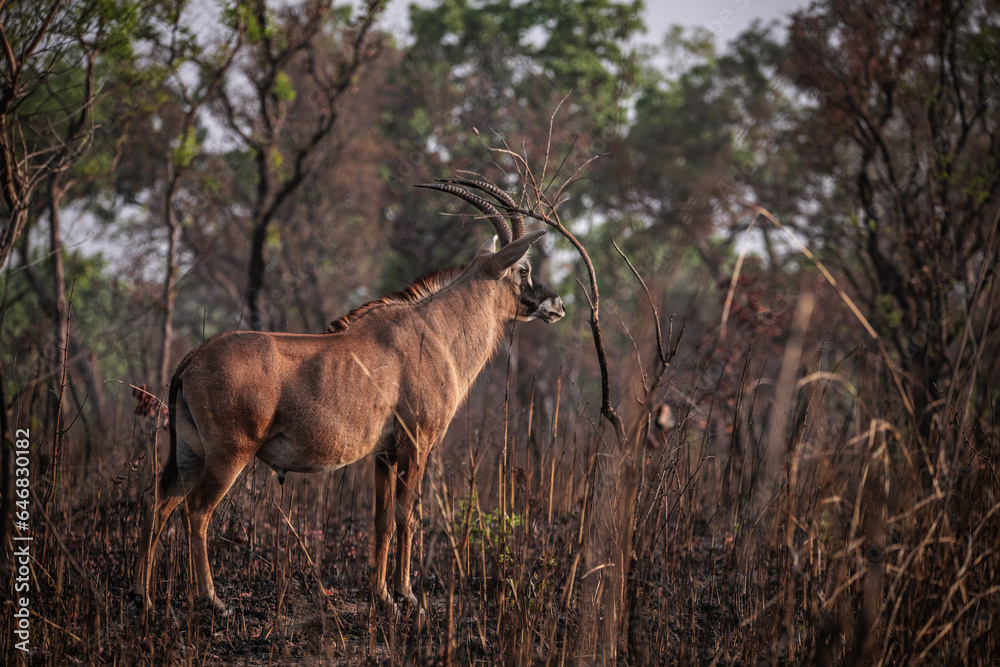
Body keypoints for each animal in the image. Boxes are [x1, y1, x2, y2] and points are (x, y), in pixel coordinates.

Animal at [133, 179, 565, 615]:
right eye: (524, 269)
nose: (558, 304)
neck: (434, 331)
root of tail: (192, 359)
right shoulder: (416, 444)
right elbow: (407, 515)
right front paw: (409, 596)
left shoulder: (385, 453)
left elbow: (382, 519)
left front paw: (383, 596)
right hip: (228, 454)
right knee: (197, 511)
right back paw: (213, 599)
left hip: (190, 452)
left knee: (159, 503)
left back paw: (145, 597)